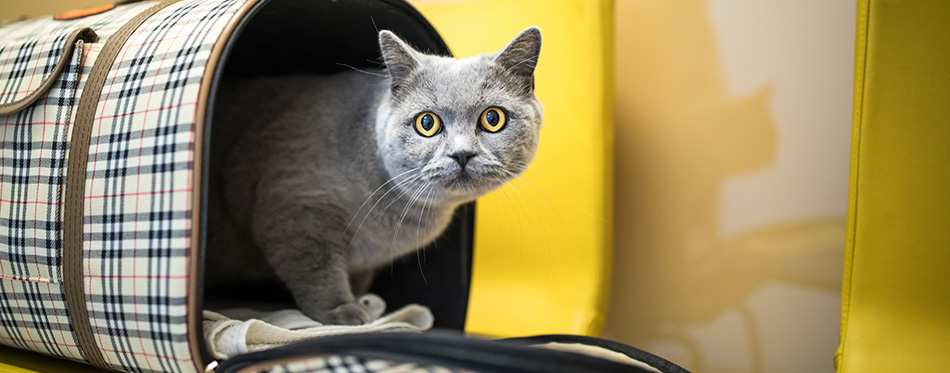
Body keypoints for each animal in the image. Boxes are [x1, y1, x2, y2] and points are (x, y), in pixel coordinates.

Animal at [207, 27, 544, 324]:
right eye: (427, 123)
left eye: (492, 118)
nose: (461, 154)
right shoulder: (297, 208)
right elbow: (316, 269)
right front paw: (343, 311)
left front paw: (363, 304)